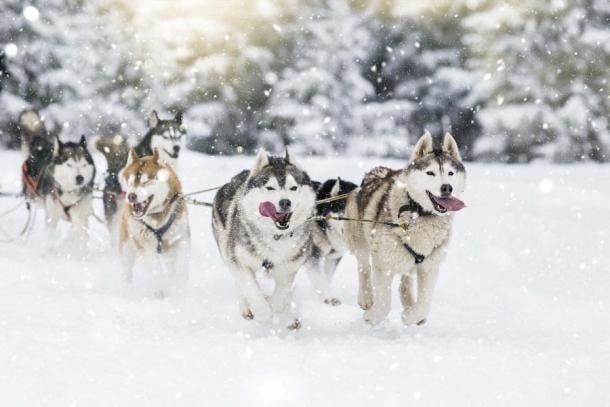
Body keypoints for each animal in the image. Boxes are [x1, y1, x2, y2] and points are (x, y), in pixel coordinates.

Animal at [116, 149, 188, 294]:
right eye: (130, 182)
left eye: (145, 182)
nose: (131, 196)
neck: (157, 216)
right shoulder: (146, 246)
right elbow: (155, 270)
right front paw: (159, 290)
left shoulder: (178, 240)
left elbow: (178, 268)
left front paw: (177, 287)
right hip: (127, 246)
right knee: (127, 269)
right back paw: (126, 287)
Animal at [211, 151, 316, 330]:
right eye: (270, 188)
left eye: (293, 188)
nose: (285, 202)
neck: (275, 236)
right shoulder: (240, 261)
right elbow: (251, 290)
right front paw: (264, 313)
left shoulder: (289, 267)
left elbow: (281, 296)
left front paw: (277, 308)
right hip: (226, 252)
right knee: (239, 285)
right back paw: (247, 309)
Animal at [304, 178, 356, 306]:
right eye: (343, 210)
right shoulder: (312, 256)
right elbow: (320, 278)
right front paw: (328, 298)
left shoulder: (333, 257)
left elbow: (326, 278)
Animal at [342, 132, 466, 326]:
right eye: (430, 173)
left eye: (450, 173)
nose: (447, 187)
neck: (420, 213)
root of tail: (376, 171)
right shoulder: (383, 263)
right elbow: (384, 304)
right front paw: (372, 317)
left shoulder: (430, 266)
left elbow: (424, 304)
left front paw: (410, 316)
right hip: (358, 239)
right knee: (363, 266)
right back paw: (366, 297)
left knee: (405, 281)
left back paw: (408, 302)